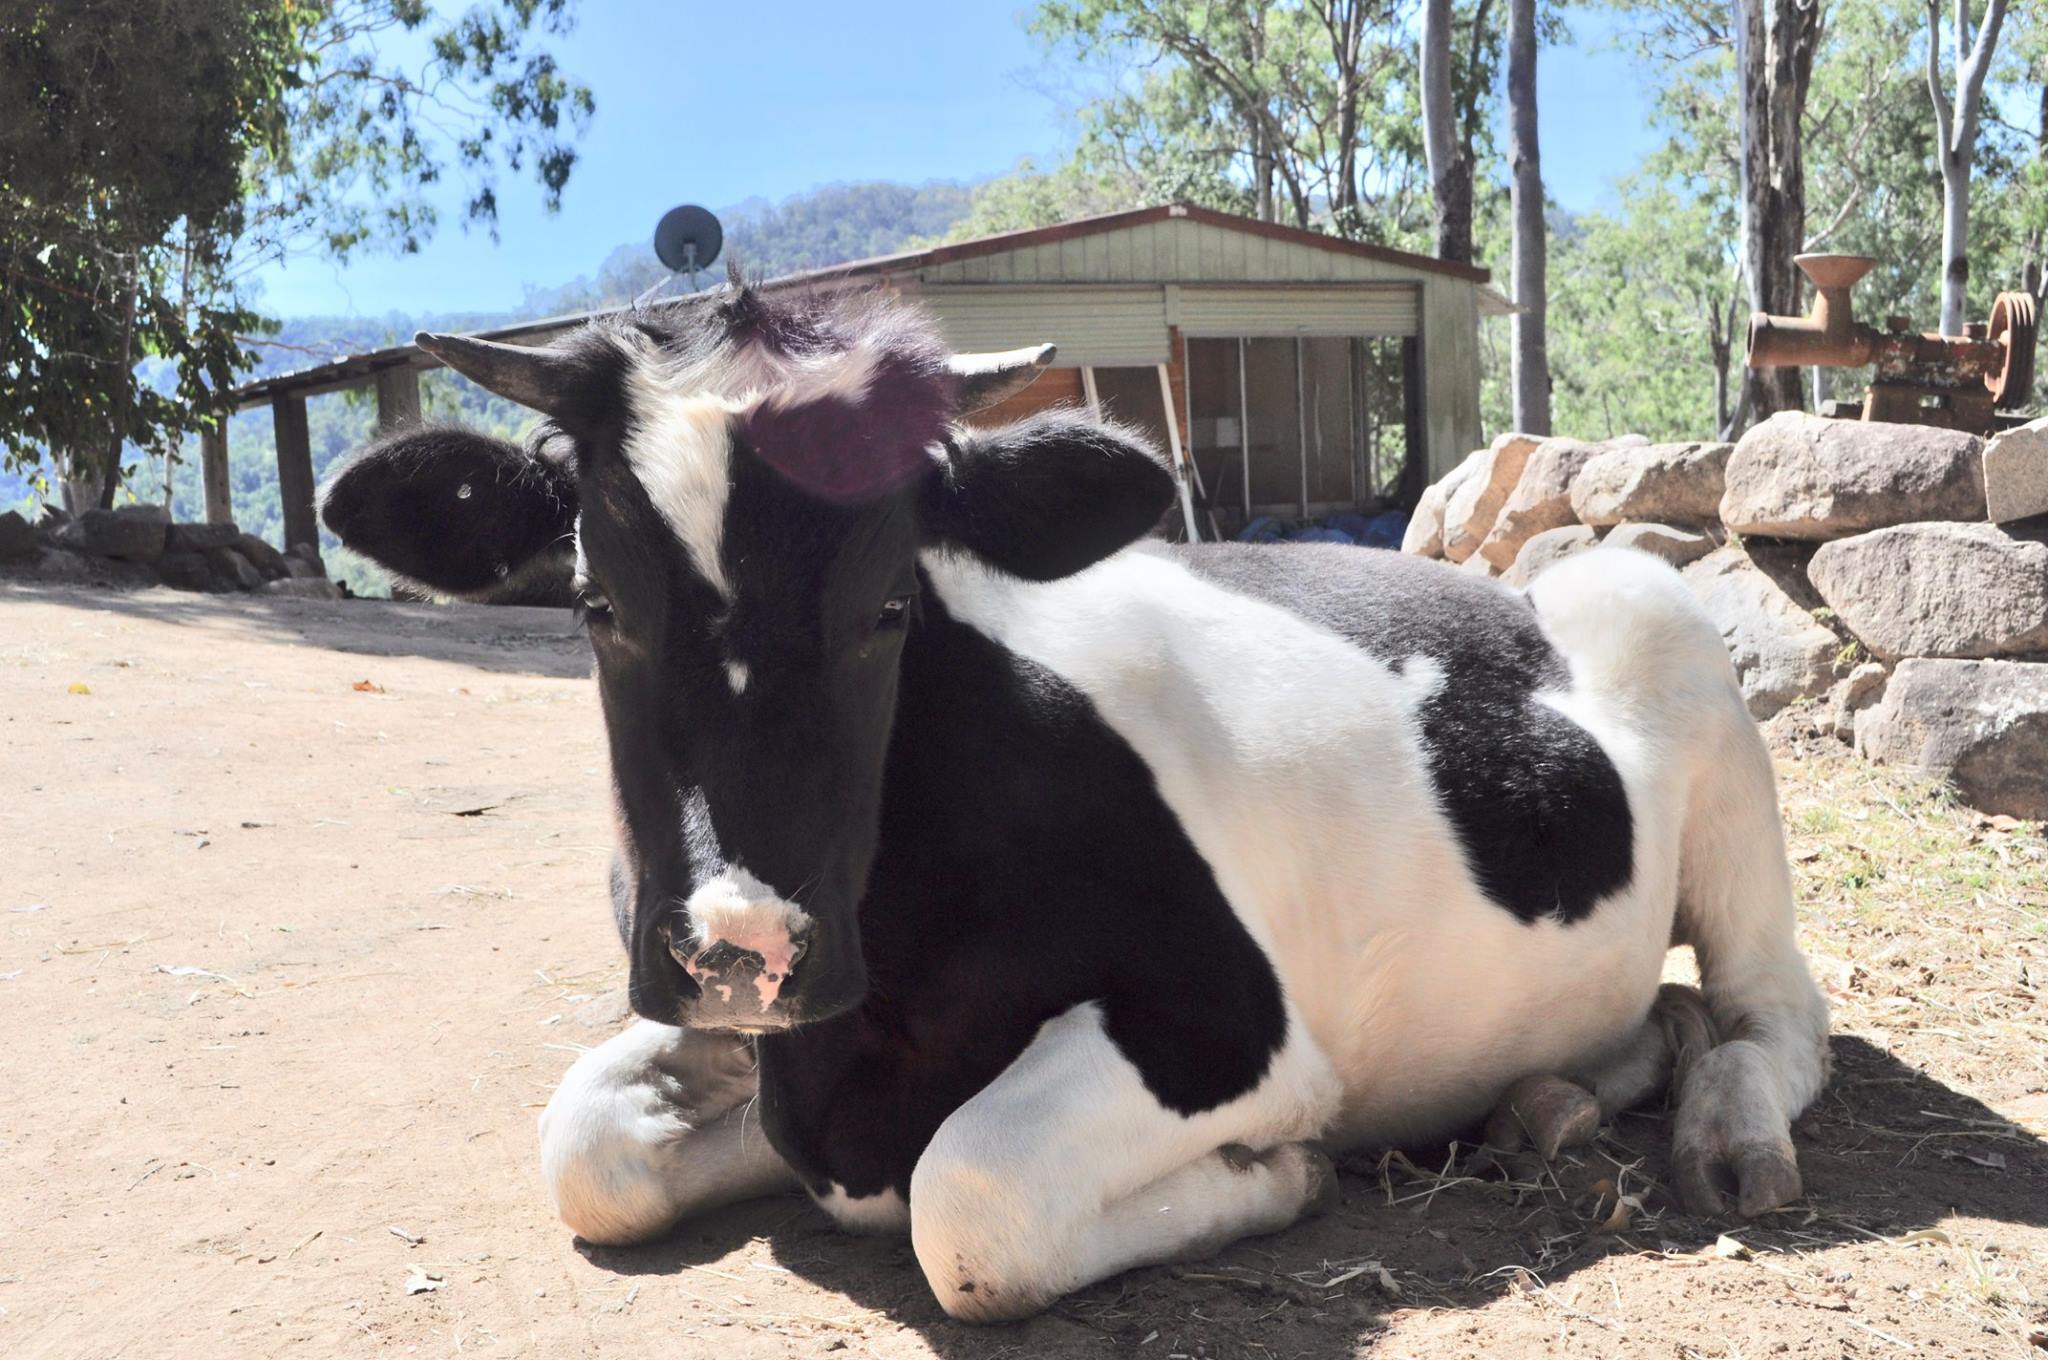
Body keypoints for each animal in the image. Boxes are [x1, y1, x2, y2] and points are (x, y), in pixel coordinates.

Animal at [323, 284, 1843, 1319]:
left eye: (888, 603)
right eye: (594, 604)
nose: (743, 946)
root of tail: (1498, 581)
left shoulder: (1226, 1024)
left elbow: (969, 1201)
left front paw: (1278, 1178)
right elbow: (586, 1147)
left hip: (1682, 658)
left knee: (1773, 1013)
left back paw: (1726, 1132)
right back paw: (1561, 1096)